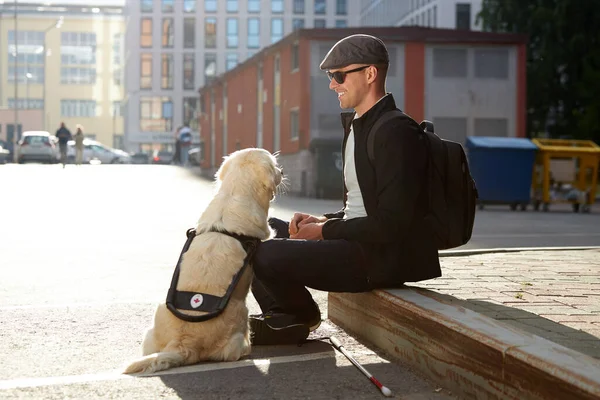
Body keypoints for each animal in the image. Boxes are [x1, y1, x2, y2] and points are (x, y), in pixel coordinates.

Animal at [123, 148, 282, 376]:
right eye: (275, 164)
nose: (282, 171)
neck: (233, 193)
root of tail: (183, 343)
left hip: (153, 324)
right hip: (241, 311)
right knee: (232, 350)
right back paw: (246, 347)